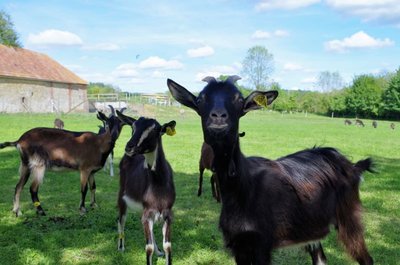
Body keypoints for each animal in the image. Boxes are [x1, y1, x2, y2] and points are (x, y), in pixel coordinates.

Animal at [116, 111, 177, 264]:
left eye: (155, 130)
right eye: (133, 127)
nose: (129, 147)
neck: (159, 185)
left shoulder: (167, 213)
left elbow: (168, 246)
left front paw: (161, 251)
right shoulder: (148, 211)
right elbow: (148, 247)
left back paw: (159, 252)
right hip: (121, 196)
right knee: (120, 219)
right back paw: (121, 247)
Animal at [167, 76, 374, 264]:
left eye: (239, 99)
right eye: (200, 99)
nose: (218, 117)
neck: (242, 188)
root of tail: (352, 165)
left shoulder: (262, 244)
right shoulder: (238, 245)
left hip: (349, 215)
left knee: (366, 258)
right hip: (312, 227)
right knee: (320, 259)